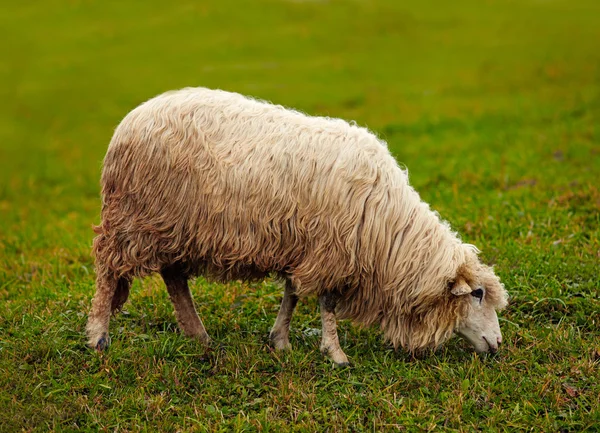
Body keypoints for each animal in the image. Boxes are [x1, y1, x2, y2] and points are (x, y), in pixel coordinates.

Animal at [86, 88, 508, 364]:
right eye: (477, 295)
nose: (498, 344)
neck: (389, 231)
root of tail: (132, 118)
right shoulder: (331, 250)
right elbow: (326, 303)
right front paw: (336, 354)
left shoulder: (304, 246)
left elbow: (292, 294)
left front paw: (281, 341)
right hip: (132, 219)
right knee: (108, 272)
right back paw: (98, 336)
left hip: (175, 228)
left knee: (174, 278)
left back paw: (198, 335)